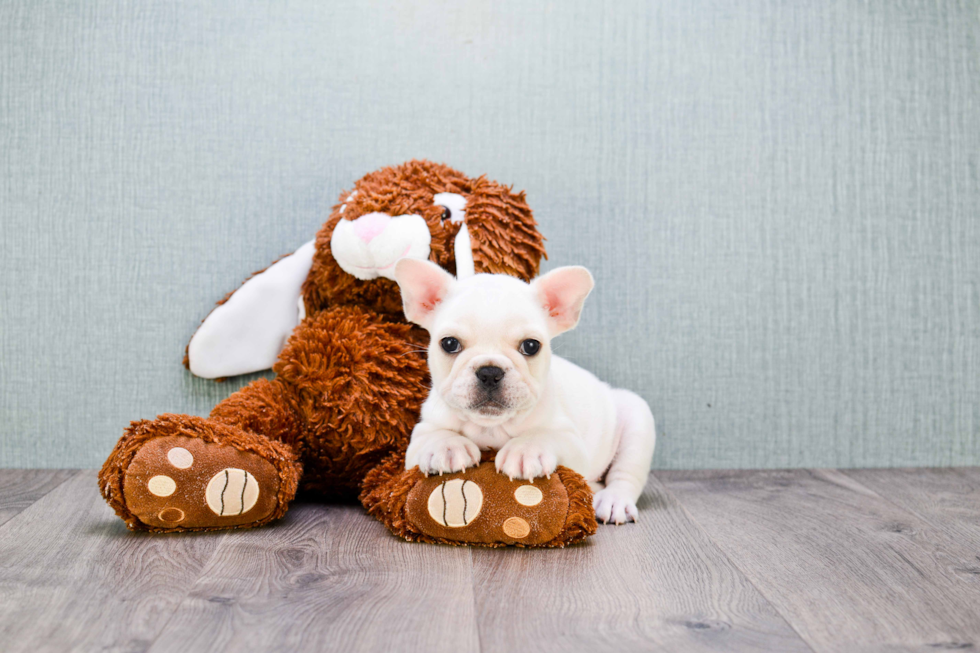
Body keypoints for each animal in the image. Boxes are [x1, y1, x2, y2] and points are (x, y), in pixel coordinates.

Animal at [392, 258, 660, 524]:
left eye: (531, 346)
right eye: (449, 343)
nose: (490, 372)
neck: (491, 427)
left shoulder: (573, 445)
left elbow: (544, 435)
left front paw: (526, 450)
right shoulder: (419, 436)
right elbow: (435, 435)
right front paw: (446, 447)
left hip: (636, 417)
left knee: (625, 476)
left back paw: (614, 501)